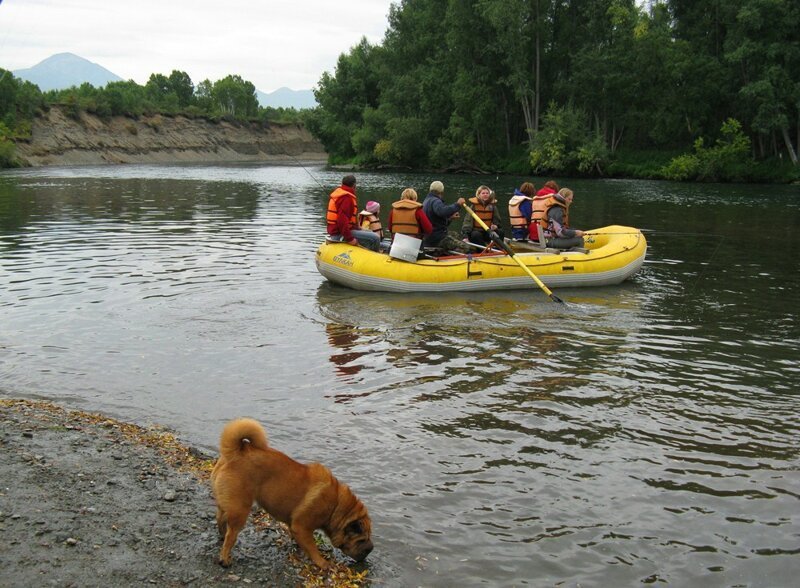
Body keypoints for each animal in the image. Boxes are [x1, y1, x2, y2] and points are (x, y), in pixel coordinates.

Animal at [212, 418, 376, 568]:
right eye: (361, 539)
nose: (370, 549)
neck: (336, 505)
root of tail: (235, 453)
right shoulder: (302, 527)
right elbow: (313, 548)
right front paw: (322, 563)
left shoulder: (295, 526)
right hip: (240, 510)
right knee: (231, 536)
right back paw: (225, 558)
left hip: (229, 505)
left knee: (220, 518)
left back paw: (221, 535)